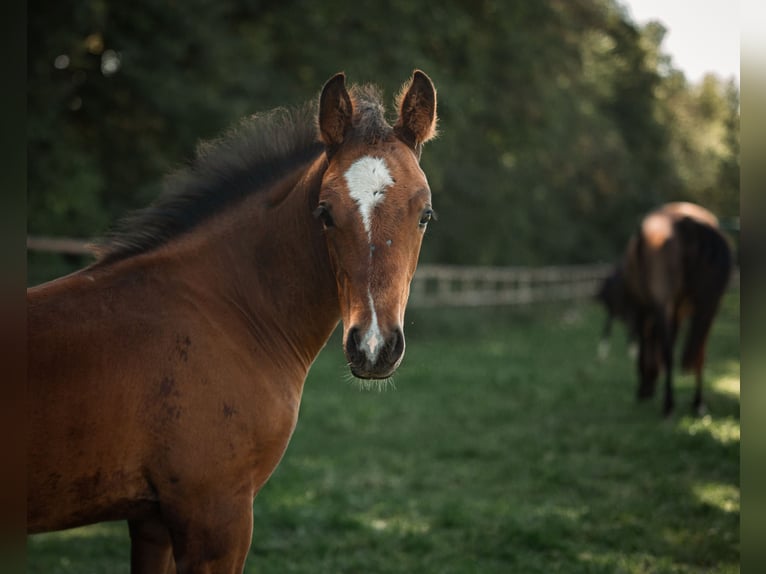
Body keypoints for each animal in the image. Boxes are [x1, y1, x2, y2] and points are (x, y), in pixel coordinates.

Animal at [27, 70, 438, 572]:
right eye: (324, 213)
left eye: (425, 213)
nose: (374, 348)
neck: (225, 309)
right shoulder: (216, 512)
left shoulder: (150, 520)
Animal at [596, 202, 732, 417]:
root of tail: (687, 223)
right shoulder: (677, 311)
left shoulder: (642, 309)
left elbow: (645, 344)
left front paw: (644, 387)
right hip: (709, 307)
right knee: (699, 352)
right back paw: (698, 403)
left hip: (664, 301)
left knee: (668, 350)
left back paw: (668, 404)